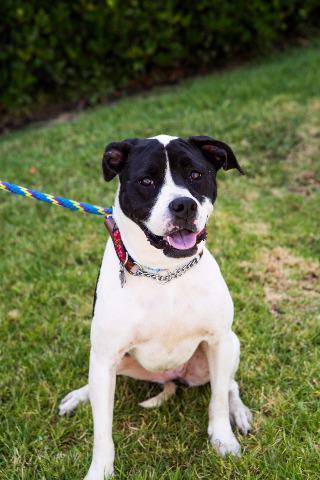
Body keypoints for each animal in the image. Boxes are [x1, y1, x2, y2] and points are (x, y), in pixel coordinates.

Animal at [58, 135, 251, 480]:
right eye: (146, 181)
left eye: (196, 175)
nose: (184, 205)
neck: (163, 272)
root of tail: (169, 377)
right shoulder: (105, 355)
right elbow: (102, 429)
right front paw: (100, 470)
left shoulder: (218, 342)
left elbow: (217, 399)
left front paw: (223, 441)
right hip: (111, 362)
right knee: (97, 386)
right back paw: (78, 397)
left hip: (229, 345)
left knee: (230, 384)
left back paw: (239, 413)